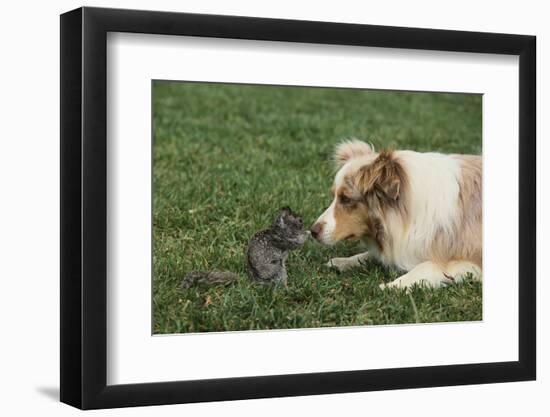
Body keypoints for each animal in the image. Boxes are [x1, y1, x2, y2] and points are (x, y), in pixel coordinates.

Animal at [310, 138, 484, 288]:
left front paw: (391, 286)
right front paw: (342, 262)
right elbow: (369, 255)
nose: (312, 231)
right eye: (334, 196)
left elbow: (428, 266)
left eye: (346, 199)